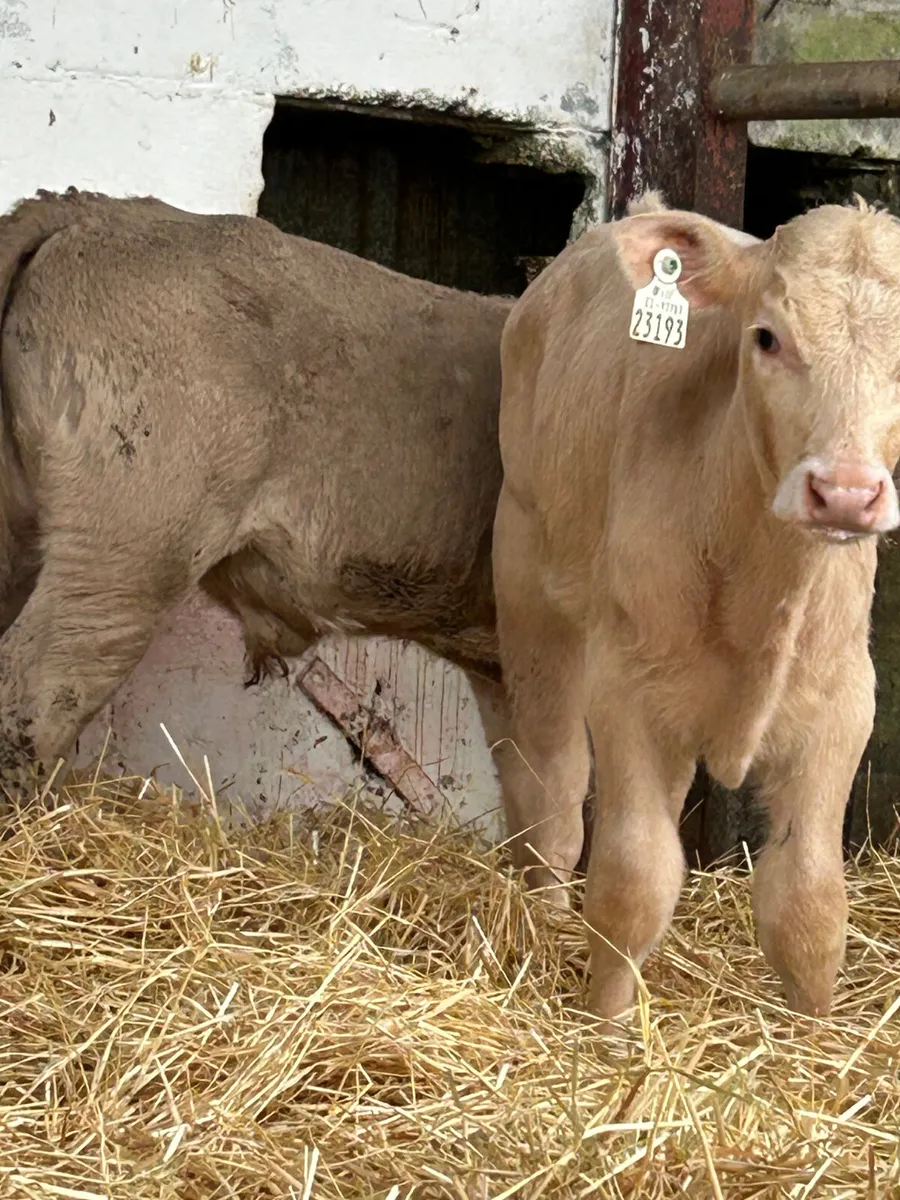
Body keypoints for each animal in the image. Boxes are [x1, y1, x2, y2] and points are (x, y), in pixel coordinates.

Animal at [493, 191, 900, 1020]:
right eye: (767, 336)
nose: (845, 491)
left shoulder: (845, 698)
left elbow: (809, 905)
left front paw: (811, 1041)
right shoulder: (629, 686)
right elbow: (633, 881)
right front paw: (608, 1032)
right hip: (526, 571)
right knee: (552, 786)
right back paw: (543, 917)